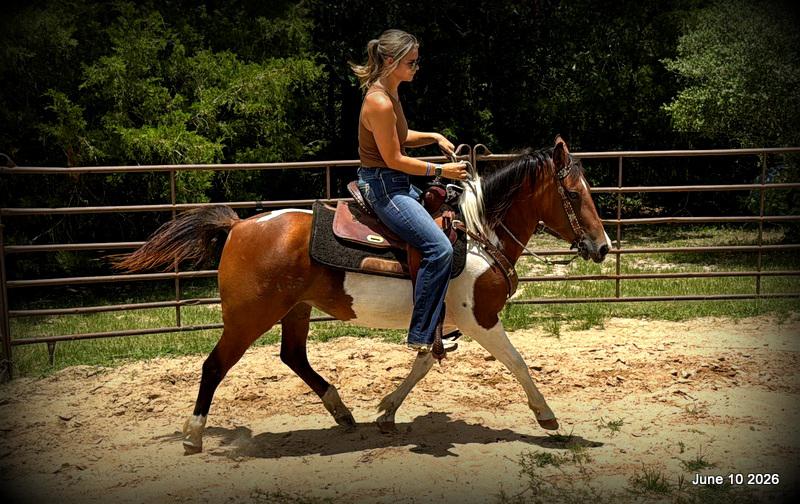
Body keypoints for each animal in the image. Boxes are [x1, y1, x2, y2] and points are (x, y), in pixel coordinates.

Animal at [113, 136, 610, 454]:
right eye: (573, 192)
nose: (603, 247)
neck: (477, 234)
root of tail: (238, 226)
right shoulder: (480, 320)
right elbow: (518, 362)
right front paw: (546, 416)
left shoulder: (440, 319)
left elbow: (423, 362)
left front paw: (387, 411)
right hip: (248, 317)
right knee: (215, 366)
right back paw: (193, 434)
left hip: (296, 310)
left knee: (293, 357)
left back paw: (341, 411)